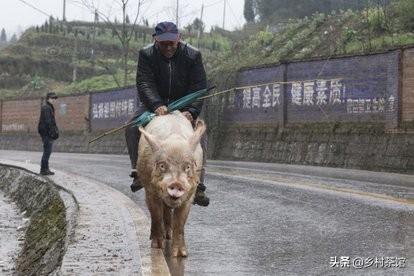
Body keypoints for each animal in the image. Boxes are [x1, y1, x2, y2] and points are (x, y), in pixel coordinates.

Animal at [137, 110, 206, 256]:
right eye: (162, 165)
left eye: (187, 166)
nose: (177, 184)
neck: (175, 142)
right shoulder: (150, 189)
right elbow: (156, 215)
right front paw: (157, 246)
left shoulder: (190, 194)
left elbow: (180, 222)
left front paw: (181, 254)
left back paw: (168, 235)